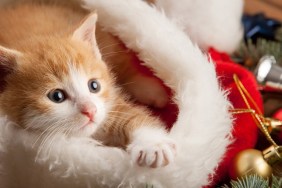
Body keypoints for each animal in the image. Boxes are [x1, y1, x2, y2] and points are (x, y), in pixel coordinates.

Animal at [0, 2, 176, 167]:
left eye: (94, 86)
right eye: (57, 96)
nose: (90, 111)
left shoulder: (108, 105)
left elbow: (130, 115)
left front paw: (153, 145)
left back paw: (152, 90)